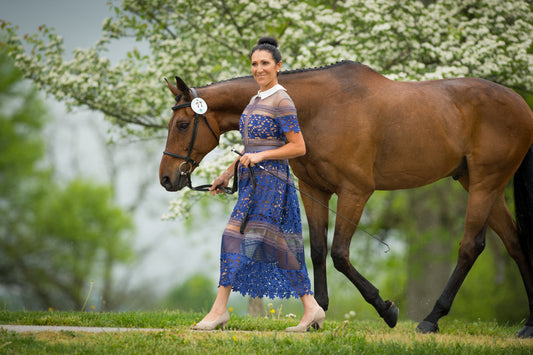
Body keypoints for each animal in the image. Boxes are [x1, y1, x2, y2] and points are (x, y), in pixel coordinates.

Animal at [158, 61, 532, 340]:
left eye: (182, 124)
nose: (167, 178)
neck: (320, 108)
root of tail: (522, 105)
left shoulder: (356, 190)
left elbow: (339, 254)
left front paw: (386, 309)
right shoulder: (314, 190)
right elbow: (318, 251)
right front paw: (317, 316)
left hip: (485, 182)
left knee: (471, 246)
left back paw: (430, 320)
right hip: (478, 182)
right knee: (514, 243)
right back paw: (527, 325)